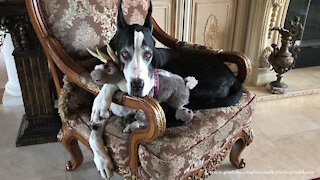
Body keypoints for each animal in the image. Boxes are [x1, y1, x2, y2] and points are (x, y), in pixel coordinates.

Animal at [89, 1, 241, 179]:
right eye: (124, 54)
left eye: (148, 55)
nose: (138, 86)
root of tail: (233, 77)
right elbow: (93, 131)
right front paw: (102, 160)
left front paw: (102, 100)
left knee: (177, 116)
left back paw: (135, 124)